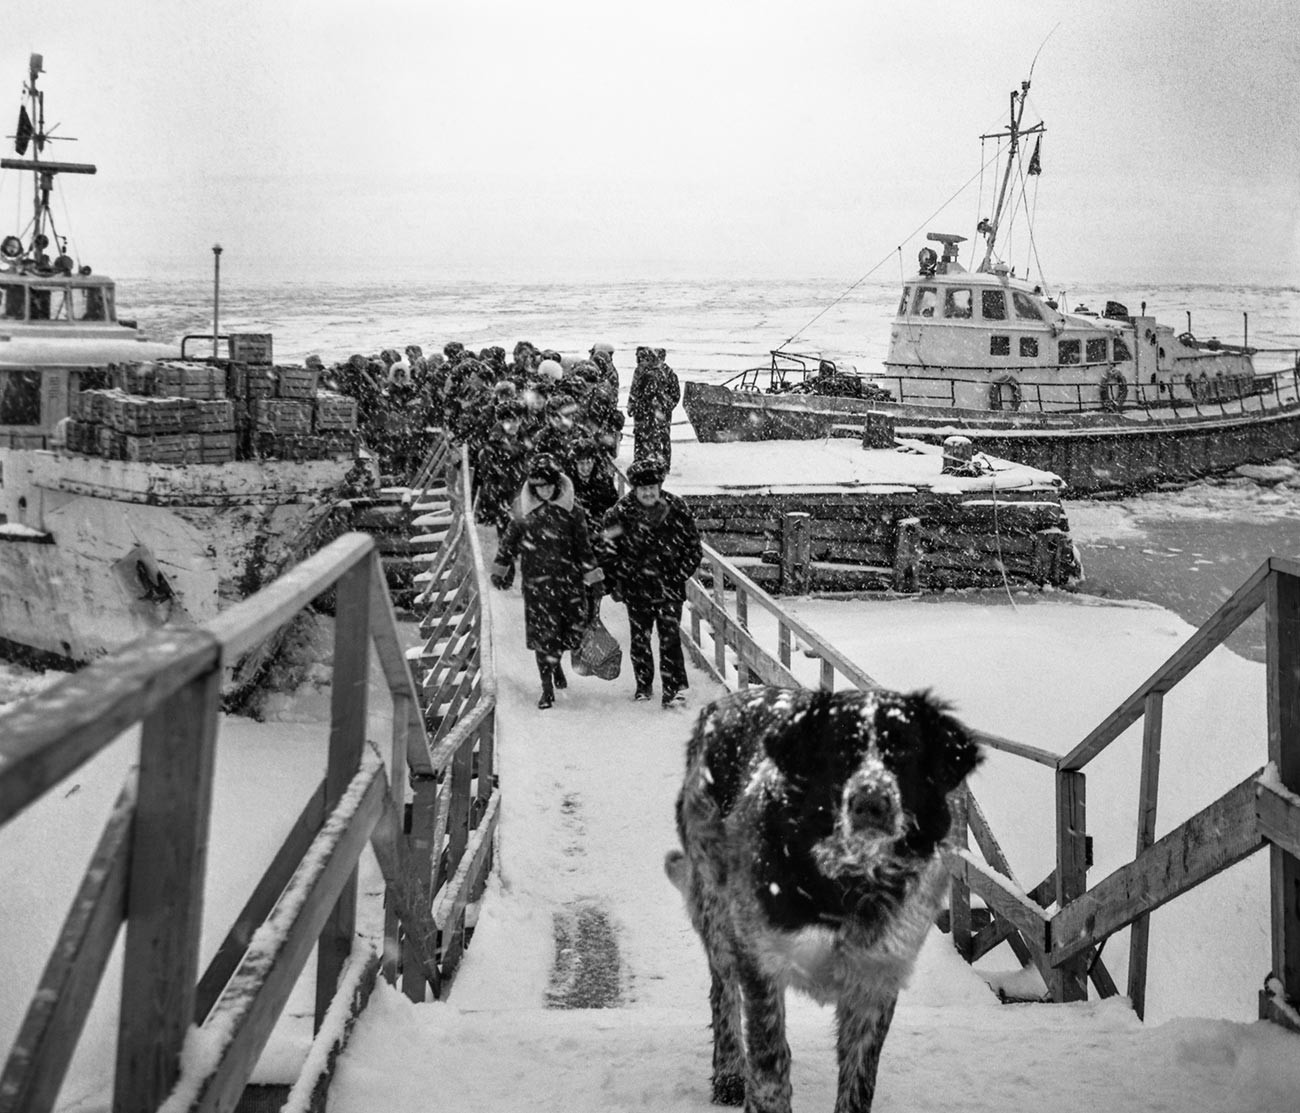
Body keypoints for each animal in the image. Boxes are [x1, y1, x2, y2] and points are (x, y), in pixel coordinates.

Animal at [665, 686, 977, 1113]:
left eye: (904, 751)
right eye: (840, 751)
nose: (871, 803)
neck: (849, 881)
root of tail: (725, 702)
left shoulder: (876, 976)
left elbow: (858, 1082)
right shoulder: (761, 961)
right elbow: (770, 1069)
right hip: (715, 903)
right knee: (723, 990)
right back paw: (729, 1073)